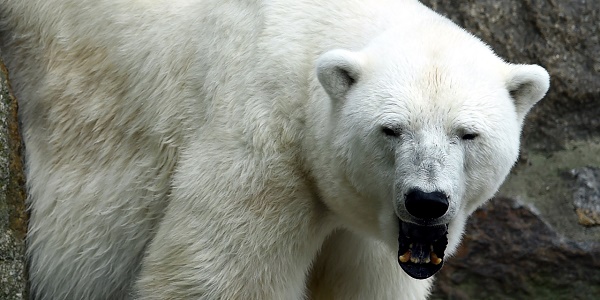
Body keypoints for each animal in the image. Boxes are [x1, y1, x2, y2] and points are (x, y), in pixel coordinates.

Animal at [0, 0, 548, 298]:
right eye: (391, 130)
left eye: (467, 133)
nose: (427, 201)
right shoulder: (263, 141)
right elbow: (215, 279)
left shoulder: (369, 231)